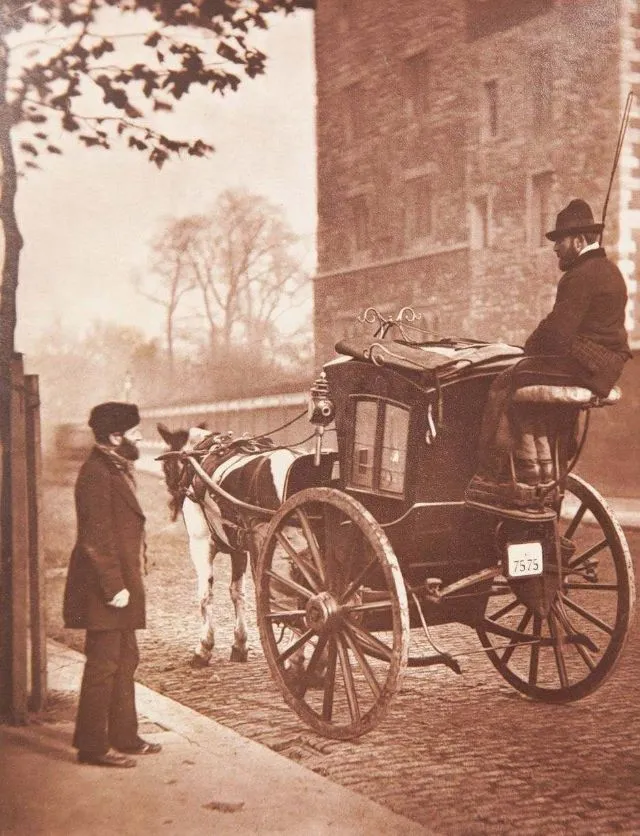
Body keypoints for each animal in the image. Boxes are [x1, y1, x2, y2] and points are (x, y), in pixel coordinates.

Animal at [157, 424, 302, 668]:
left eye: (167, 466)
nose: (173, 498)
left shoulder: (201, 543)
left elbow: (205, 594)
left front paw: (204, 648)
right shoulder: (239, 548)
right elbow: (237, 592)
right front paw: (240, 644)